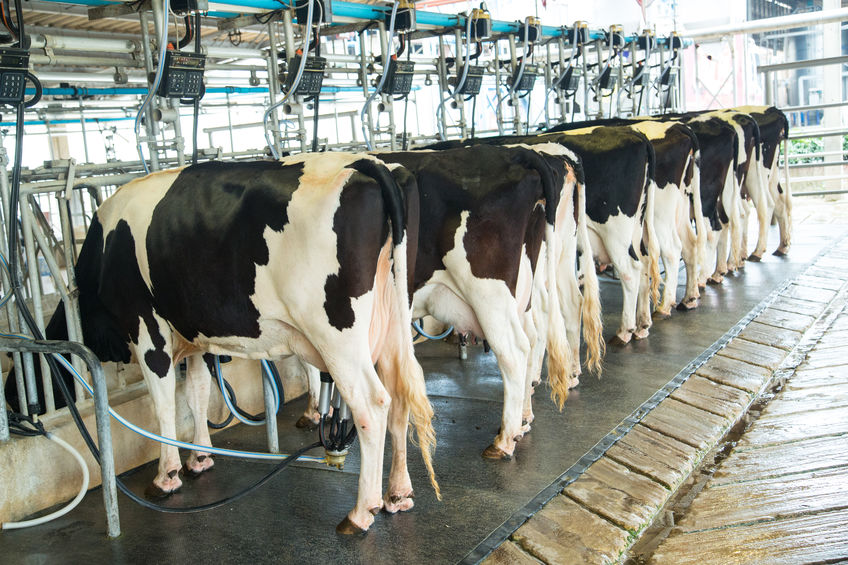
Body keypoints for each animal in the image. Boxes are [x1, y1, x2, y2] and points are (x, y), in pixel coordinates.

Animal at [48, 152, 438, 532]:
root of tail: (370, 164)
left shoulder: (146, 327)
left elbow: (164, 404)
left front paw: (166, 475)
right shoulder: (195, 338)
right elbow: (196, 394)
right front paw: (199, 457)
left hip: (337, 334)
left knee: (372, 405)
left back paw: (361, 512)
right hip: (393, 318)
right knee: (400, 395)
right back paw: (397, 494)